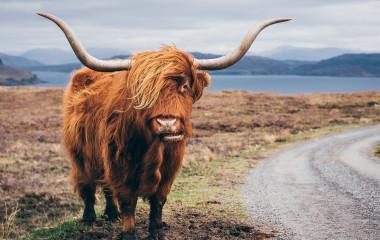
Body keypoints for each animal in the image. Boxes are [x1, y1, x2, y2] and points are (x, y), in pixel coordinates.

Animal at [37, 12, 288, 239]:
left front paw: (156, 231)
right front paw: (128, 233)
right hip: (80, 152)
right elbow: (127, 200)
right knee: (87, 183)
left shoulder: (170, 165)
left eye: (184, 86)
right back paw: (89, 218)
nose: (167, 123)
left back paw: (111, 214)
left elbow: (158, 200)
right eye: (143, 91)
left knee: (106, 187)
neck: (152, 148)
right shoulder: (118, 162)